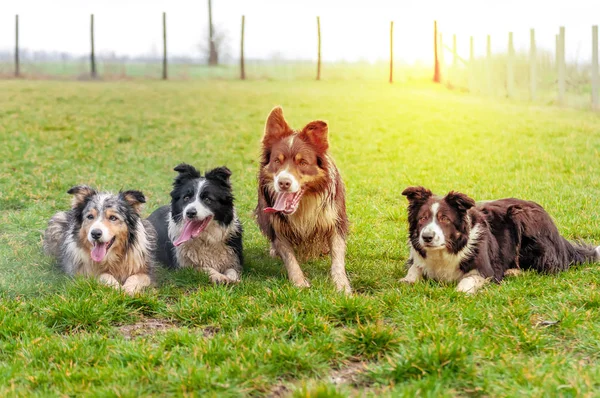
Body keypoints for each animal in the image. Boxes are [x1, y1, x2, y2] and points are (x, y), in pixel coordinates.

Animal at [254, 107, 352, 294]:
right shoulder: (278, 224)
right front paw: (299, 282)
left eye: (303, 162)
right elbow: (289, 257)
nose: (283, 182)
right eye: (277, 160)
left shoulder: (335, 219)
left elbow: (338, 257)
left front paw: (342, 285)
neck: (304, 204)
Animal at [398, 185, 600, 294]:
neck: (444, 251)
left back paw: (514, 272)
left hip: (521, 215)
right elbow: (415, 268)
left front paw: (461, 292)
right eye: (422, 218)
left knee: (550, 267)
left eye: (445, 219)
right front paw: (406, 280)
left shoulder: (486, 270)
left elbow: (467, 281)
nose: (427, 237)